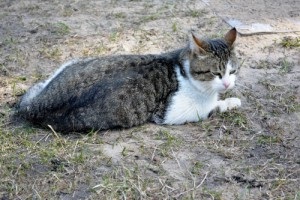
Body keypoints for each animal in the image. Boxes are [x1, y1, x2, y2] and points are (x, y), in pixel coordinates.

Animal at [16, 27, 241, 132]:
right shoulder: (175, 113)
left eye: (233, 71)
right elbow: (213, 107)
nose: (227, 84)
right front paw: (231, 101)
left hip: (71, 63)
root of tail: (36, 105)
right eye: (216, 73)